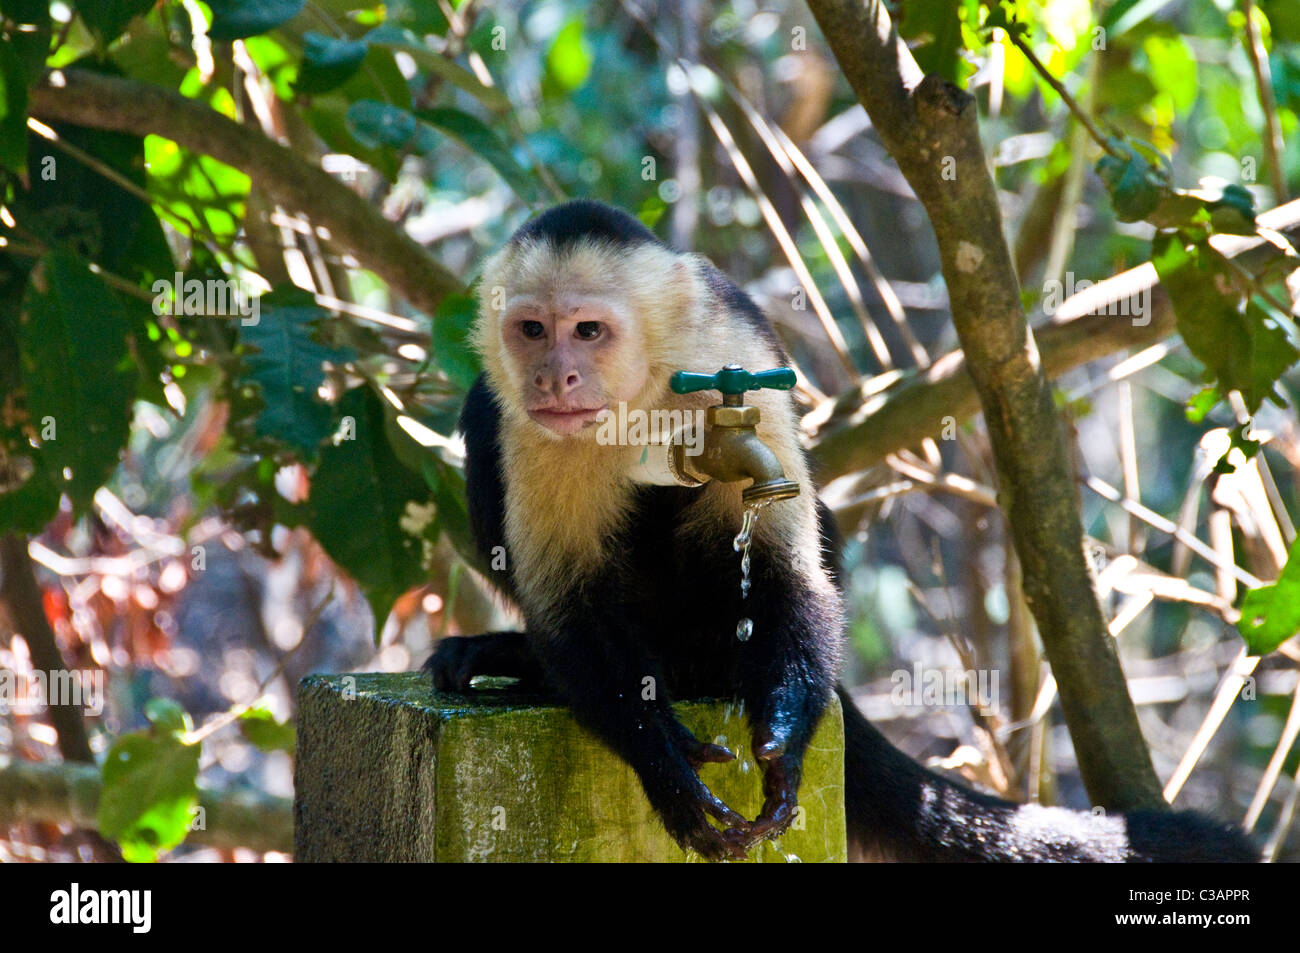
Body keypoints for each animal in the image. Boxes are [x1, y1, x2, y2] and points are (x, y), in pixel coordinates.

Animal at [425, 199, 1259, 862]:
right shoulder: (535, 426)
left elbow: (784, 563)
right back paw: (523, 661)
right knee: (483, 417)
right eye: (533, 330)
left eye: (589, 330)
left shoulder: (728, 355)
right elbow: (570, 604)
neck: (638, 391)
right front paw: (661, 757)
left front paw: (787, 730)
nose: (554, 375)